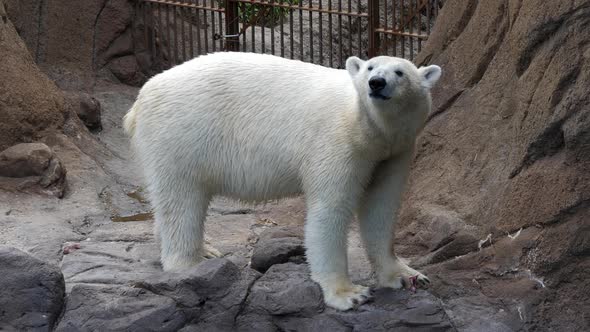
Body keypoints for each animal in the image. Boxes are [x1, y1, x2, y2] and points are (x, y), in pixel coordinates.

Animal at [123, 50, 440, 310]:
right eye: (371, 67)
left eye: (400, 72)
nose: (376, 83)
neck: (367, 126)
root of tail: (141, 98)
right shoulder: (337, 142)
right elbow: (331, 210)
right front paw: (348, 294)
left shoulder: (394, 151)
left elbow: (381, 207)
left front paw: (406, 276)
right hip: (182, 132)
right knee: (182, 198)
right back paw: (190, 262)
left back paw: (204, 249)